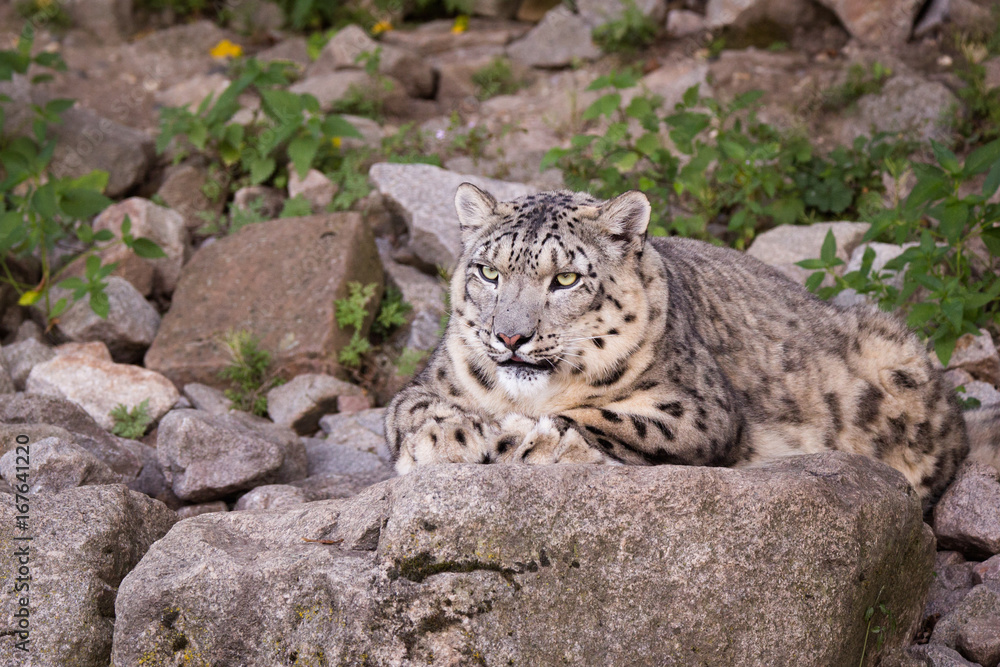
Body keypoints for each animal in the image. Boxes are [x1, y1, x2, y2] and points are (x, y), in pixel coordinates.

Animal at [384, 184, 1000, 509]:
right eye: (488, 272)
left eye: (565, 279)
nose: (510, 336)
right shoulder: (429, 382)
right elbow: (408, 410)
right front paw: (448, 436)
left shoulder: (696, 409)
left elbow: (599, 418)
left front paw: (522, 440)